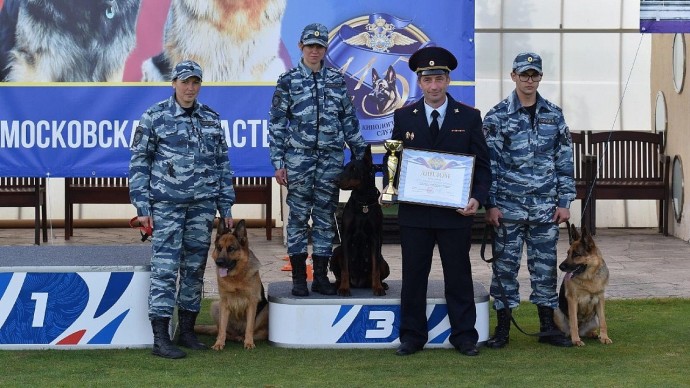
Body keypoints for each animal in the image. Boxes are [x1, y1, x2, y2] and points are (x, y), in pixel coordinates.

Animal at [195, 220, 270, 350]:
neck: (236, 278)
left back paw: (244, 338)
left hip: (265, 310)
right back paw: (230, 337)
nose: (219, 262)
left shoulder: (252, 303)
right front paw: (219, 343)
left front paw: (249, 343)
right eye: (219, 248)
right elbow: (222, 328)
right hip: (215, 305)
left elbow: (249, 327)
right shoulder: (224, 303)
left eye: (231, 249)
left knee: (257, 333)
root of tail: (238, 333)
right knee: (223, 331)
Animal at [330, 144, 390, 296]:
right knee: (339, 273)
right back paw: (337, 285)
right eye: (345, 167)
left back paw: (382, 284)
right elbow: (345, 268)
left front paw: (378, 288)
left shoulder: (375, 237)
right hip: (336, 252)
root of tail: (358, 283)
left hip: (384, 262)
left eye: (354, 169)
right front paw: (344, 288)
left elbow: (375, 268)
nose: (335, 180)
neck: (363, 202)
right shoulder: (346, 237)